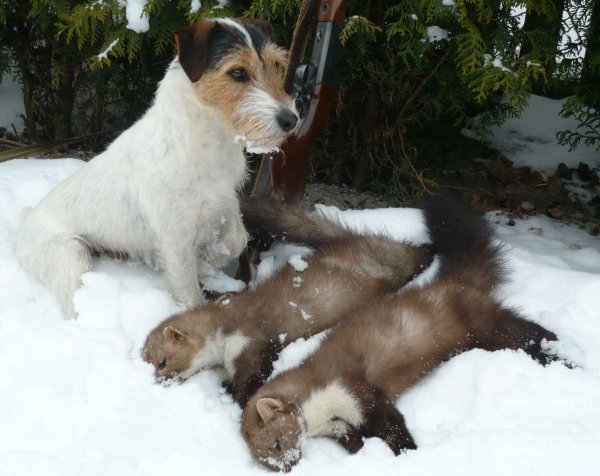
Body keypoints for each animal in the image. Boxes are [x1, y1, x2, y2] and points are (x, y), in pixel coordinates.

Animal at [15, 18, 299, 319]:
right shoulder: (175, 240)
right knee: (74, 306)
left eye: (277, 65)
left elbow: (237, 239)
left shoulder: (223, 204)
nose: (291, 120)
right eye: (237, 72)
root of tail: (26, 223)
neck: (206, 139)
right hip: (71, 256)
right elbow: (188, 290)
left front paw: (206, 262)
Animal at [141, 198, 432, 405]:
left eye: (162, 362)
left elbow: (253, 376)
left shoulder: (253, 343)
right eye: (150, 366)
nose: (160, 382)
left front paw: (237, 395)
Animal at [241, 194, 561, 472]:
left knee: (530, 331)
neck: (323, 409)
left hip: (486, 322)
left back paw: (560, 355)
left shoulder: (357, 391)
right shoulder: (339, 425)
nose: (287, 467)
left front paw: (409, 455)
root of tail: (453, 280)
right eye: (266, 460)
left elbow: (393, 424)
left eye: (277, 444)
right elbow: (356, 438)